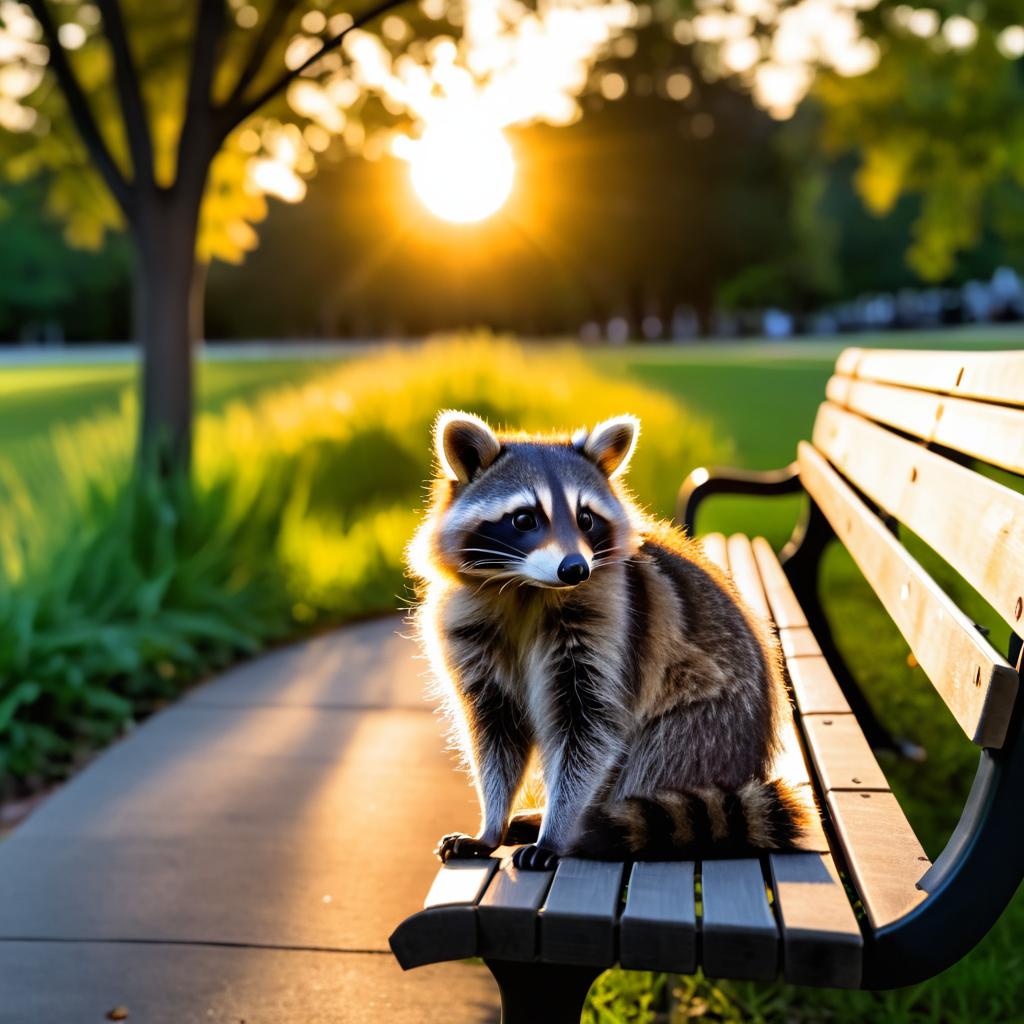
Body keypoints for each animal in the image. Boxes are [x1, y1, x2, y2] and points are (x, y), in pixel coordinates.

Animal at [403, 409, 802, 872]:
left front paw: (556, 831)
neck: (526, 588)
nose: (575, 569)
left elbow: (590, 731)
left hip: (711, 727)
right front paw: (491, 824)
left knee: (659, 754)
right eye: (524, 519)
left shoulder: (614, 624)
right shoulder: (469, 634)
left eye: (586, 518)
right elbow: (494, 734)